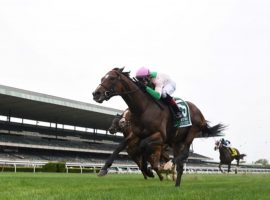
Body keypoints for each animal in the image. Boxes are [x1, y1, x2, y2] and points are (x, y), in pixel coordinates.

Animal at [93, 67, 226, 188]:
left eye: (111, 78)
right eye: (102, 78)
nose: (95, 94)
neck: (144, 108)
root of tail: (200, 113)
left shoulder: (160, 136)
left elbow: (144, 146)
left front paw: (149, 170)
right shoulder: (136, 134)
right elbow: (120, 146)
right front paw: (104, 168)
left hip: (192, 132)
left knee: (185, 153)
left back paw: (168, 165)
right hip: (176, 141)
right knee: (180, 164)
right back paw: (176, 185)